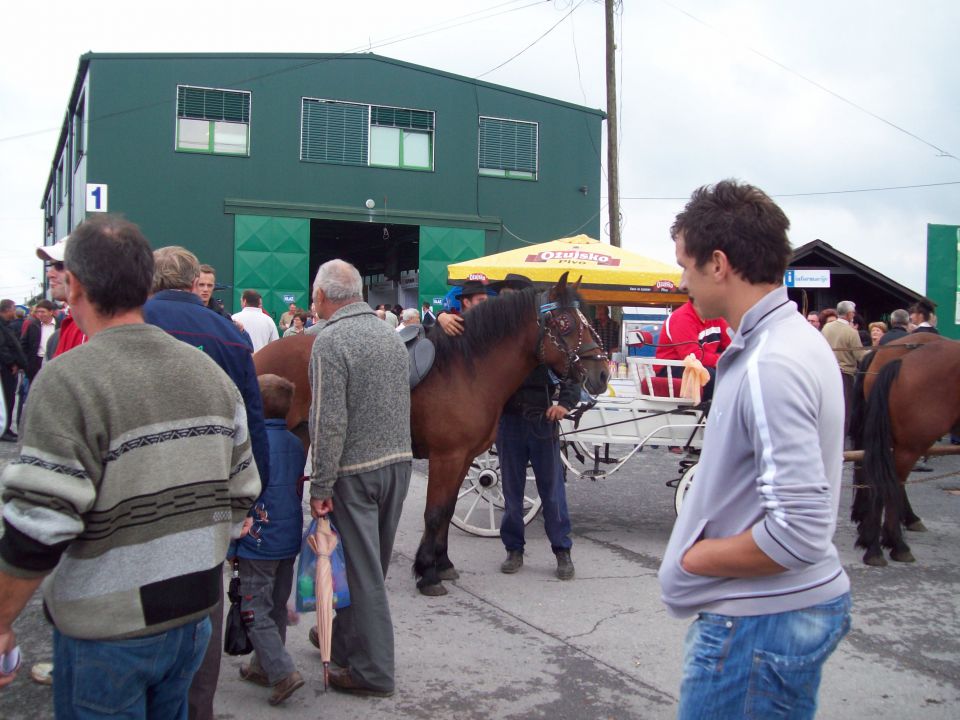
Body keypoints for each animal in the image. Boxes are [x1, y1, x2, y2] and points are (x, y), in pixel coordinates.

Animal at [253, 272, 608, 592]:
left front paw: (442, 563)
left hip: (300, 436)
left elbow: (447, 509)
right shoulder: (446, 458)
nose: (602, 373)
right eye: (565, 323)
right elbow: (435, 513)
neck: (467, 370)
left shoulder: (463, 458)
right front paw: (427, 573)